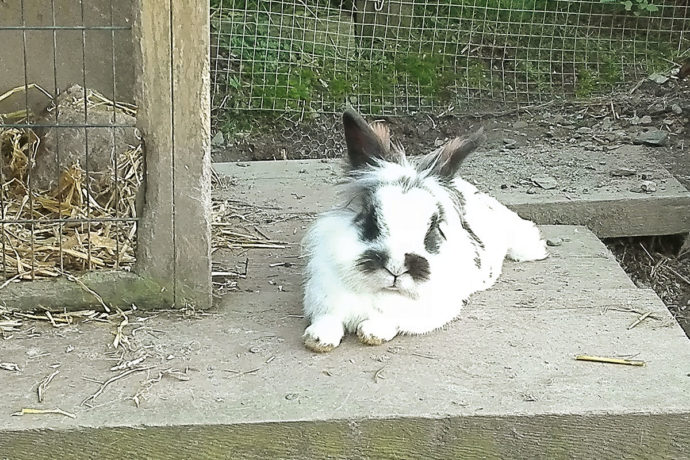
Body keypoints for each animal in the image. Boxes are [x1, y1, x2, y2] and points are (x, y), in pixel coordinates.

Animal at [300, 108, 548, 352]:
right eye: (371, 220)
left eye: (433, 228)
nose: (396, 268)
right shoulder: (324, 298)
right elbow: (328, 319)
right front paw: (318, 339)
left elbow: (389, 321)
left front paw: (371, 333)